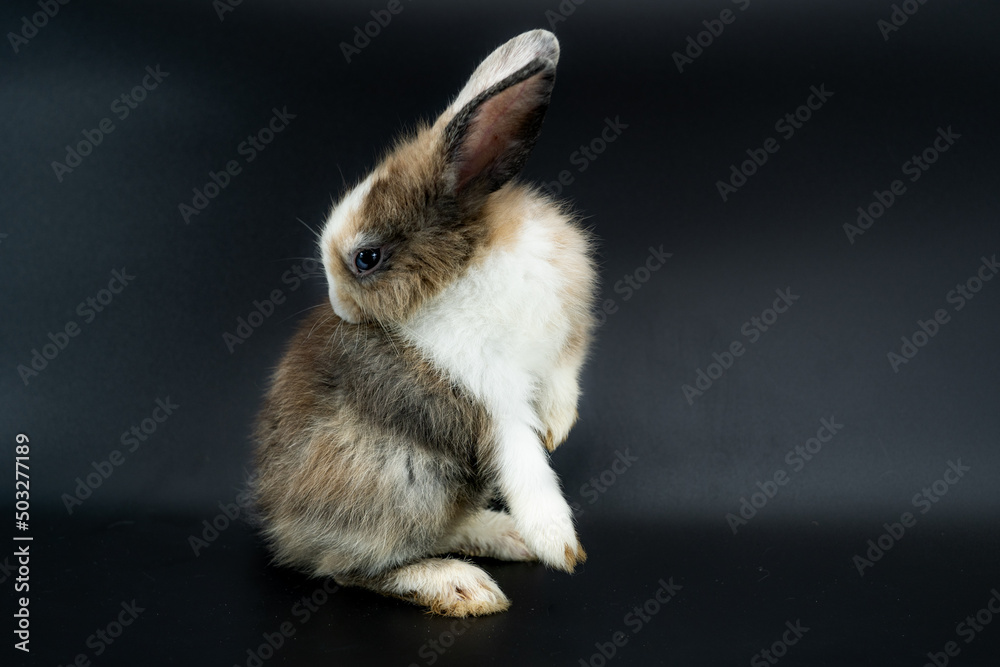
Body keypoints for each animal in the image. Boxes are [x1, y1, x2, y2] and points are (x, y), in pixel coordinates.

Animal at [252, 29, 596, 617]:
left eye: (365, 259)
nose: (340, 308)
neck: (467, 264)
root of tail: (283, 532)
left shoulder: (564, 343)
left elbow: (559, 390)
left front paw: (557, 430)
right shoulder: (490, 400)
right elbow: (525, 463)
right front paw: (559, 543)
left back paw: (503, 538)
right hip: (400, 485)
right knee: (352, 568)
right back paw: (460, 585)